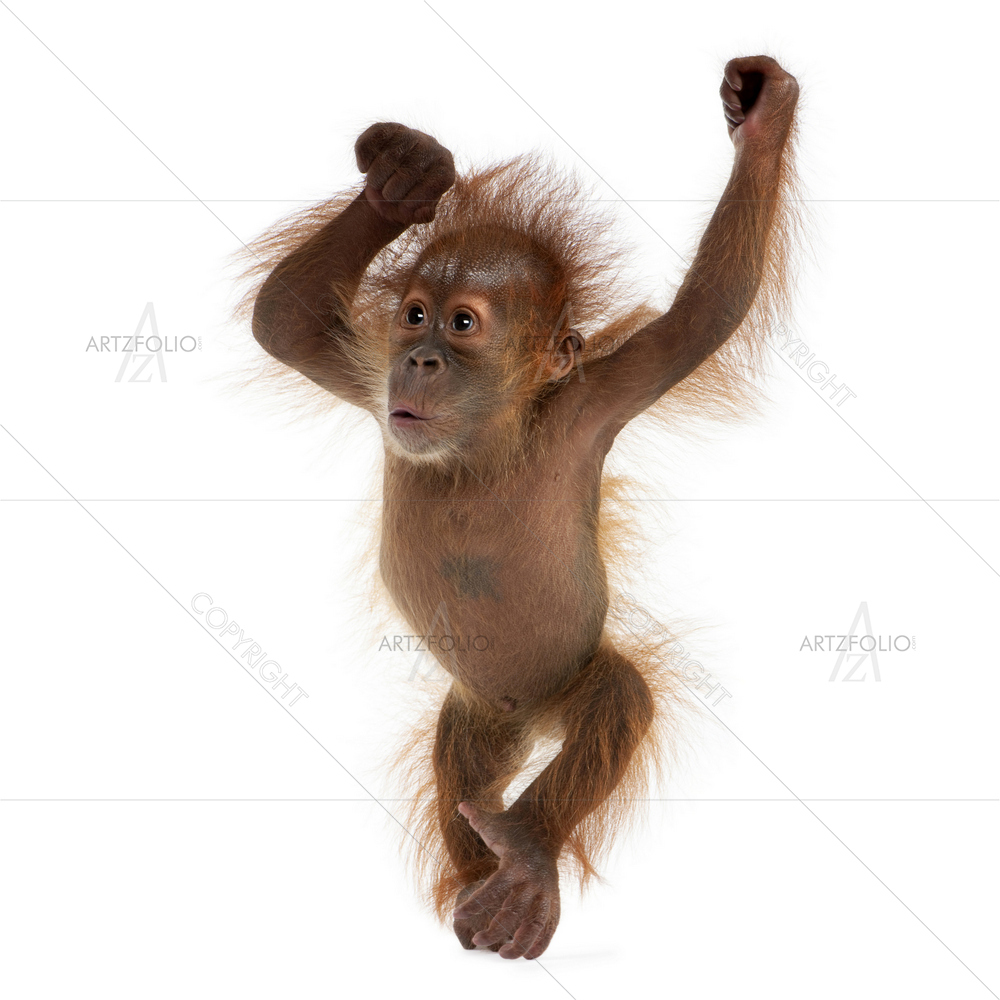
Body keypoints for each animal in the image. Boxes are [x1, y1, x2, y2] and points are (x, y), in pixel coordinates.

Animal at [241, 55, 799, 960]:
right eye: (415, 314)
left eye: (465, 323)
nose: (422, 359)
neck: (479, 441)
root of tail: (527, 719)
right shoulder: (368, 378)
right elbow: (284, 322)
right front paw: (403, 181)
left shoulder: (596, 402)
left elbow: (705, 312)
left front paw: (762, 119)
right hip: (477, 720)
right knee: (463, 768)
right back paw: (484, 880)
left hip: (566, 677)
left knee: (618, 696)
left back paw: (525, 858)